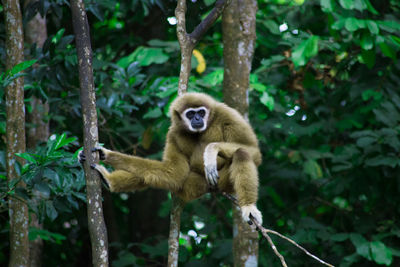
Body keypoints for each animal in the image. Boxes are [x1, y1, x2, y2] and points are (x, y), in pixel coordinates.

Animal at [79, 92, 264, 226]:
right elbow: (173, 172)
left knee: (242, 153)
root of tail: (212, 189)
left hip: (222, 181)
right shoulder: (173, 133)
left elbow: (253, 150)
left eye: (201, 112)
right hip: (195, 184)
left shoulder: (227, 114)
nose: (197, 119)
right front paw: (105, 154)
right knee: (157, 176)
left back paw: (248, 206)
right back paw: (108, 180)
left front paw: (211, 151)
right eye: (190, 114)